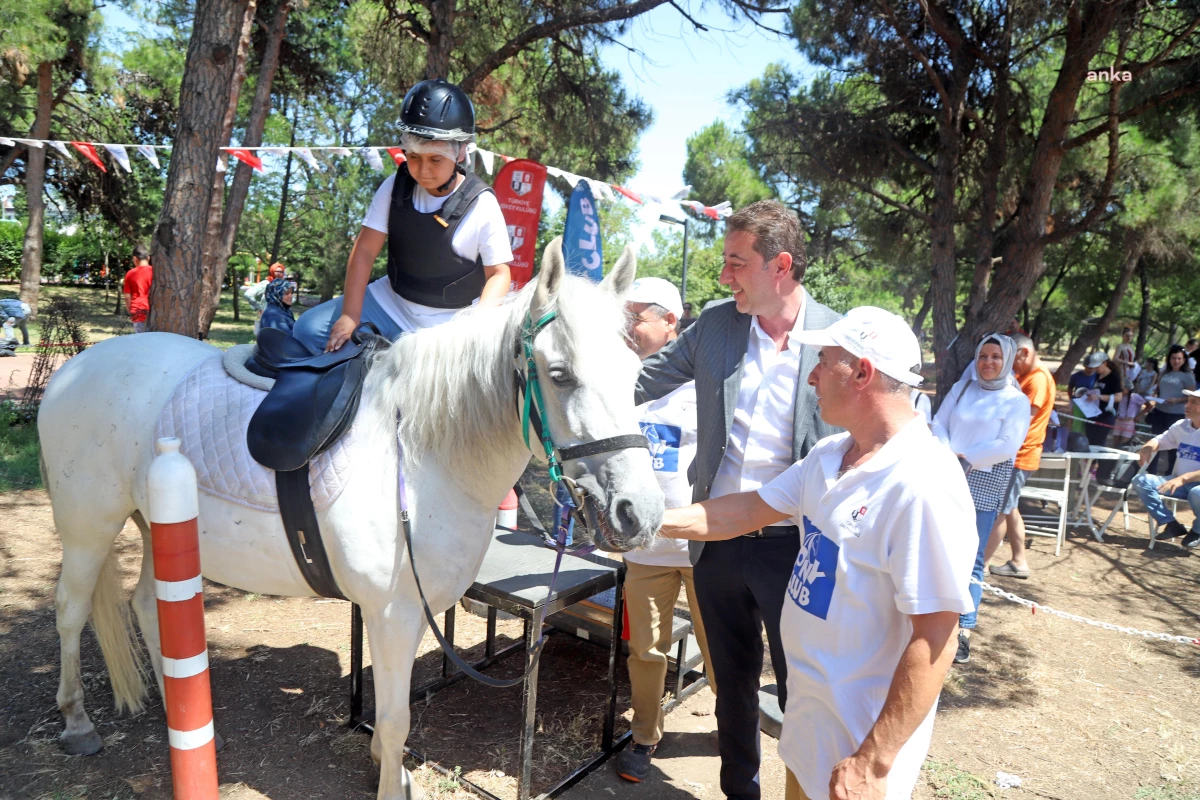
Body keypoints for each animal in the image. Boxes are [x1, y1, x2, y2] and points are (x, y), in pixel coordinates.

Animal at [39, 242, 667, 800]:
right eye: (559, 374)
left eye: (635, 372)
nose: (640, 512)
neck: (421, 451)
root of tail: (75, 368)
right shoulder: (391, 613)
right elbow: (394, 721)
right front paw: (391, 782)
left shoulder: (409, 614)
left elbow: (394, 710)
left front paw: (384, 768)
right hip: (90, 527)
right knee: (70, 609)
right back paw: (77, 722)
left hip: (158, 528)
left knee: (149, 606)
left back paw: (181, 712)